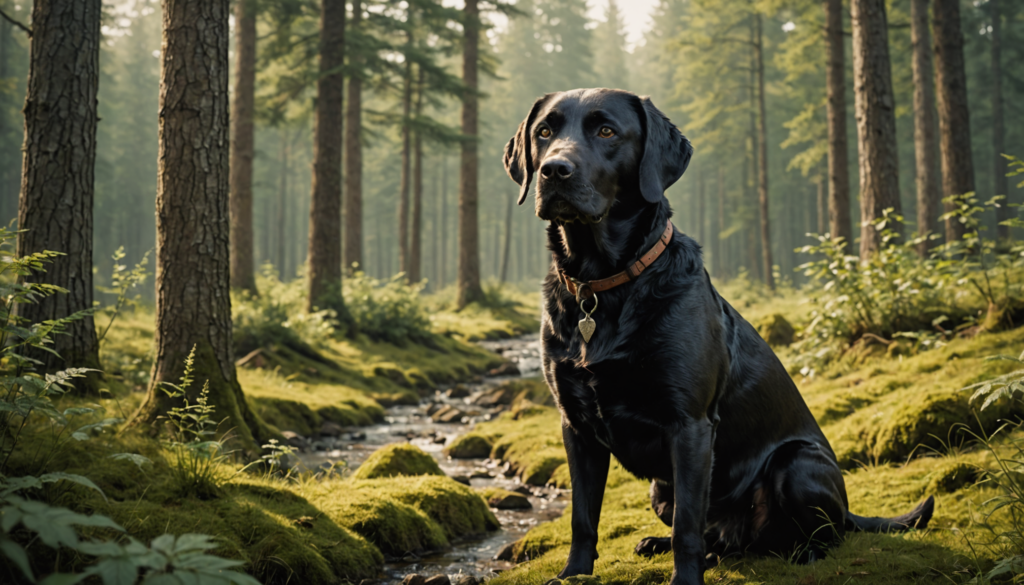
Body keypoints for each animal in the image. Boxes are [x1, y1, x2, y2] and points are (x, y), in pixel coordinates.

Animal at [503, 88, 937, 585]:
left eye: (607, 131)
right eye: (544, 132)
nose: (554, 169)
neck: (603, 285)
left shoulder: (690, 424)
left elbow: (687, 526)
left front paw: (684, 580)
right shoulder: (575, 426)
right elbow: (582, 516)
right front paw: (574, 574)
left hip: (796, 464)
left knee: (822, 533)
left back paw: (805, 553)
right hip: (660, 489)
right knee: (720, 543)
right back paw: (669, 545)